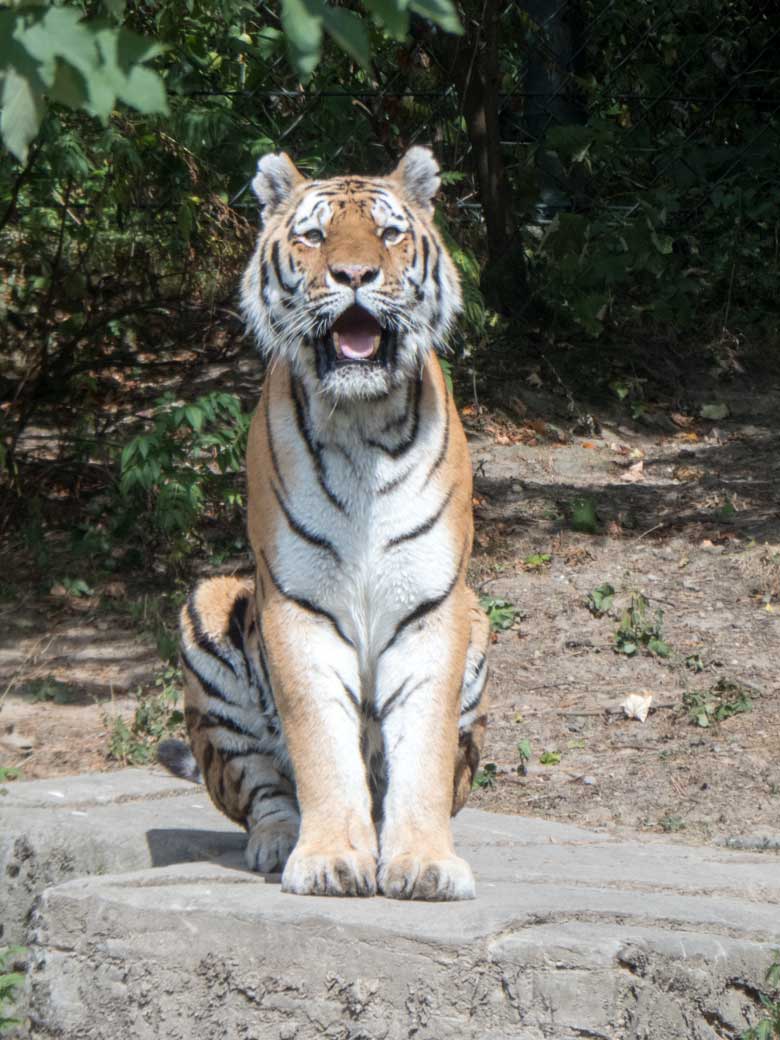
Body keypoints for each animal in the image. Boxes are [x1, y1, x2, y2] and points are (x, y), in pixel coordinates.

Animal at [158, 146, 488, 902]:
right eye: (313, 236)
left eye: (390, 235)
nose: (355, 275)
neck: (362, 423)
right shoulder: (297, 605)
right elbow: (318, 742)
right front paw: (332, 858)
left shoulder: (433, 604)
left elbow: (423, 752)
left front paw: (424, 862)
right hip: (207, 609)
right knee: (259, 791)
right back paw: (279, 843)